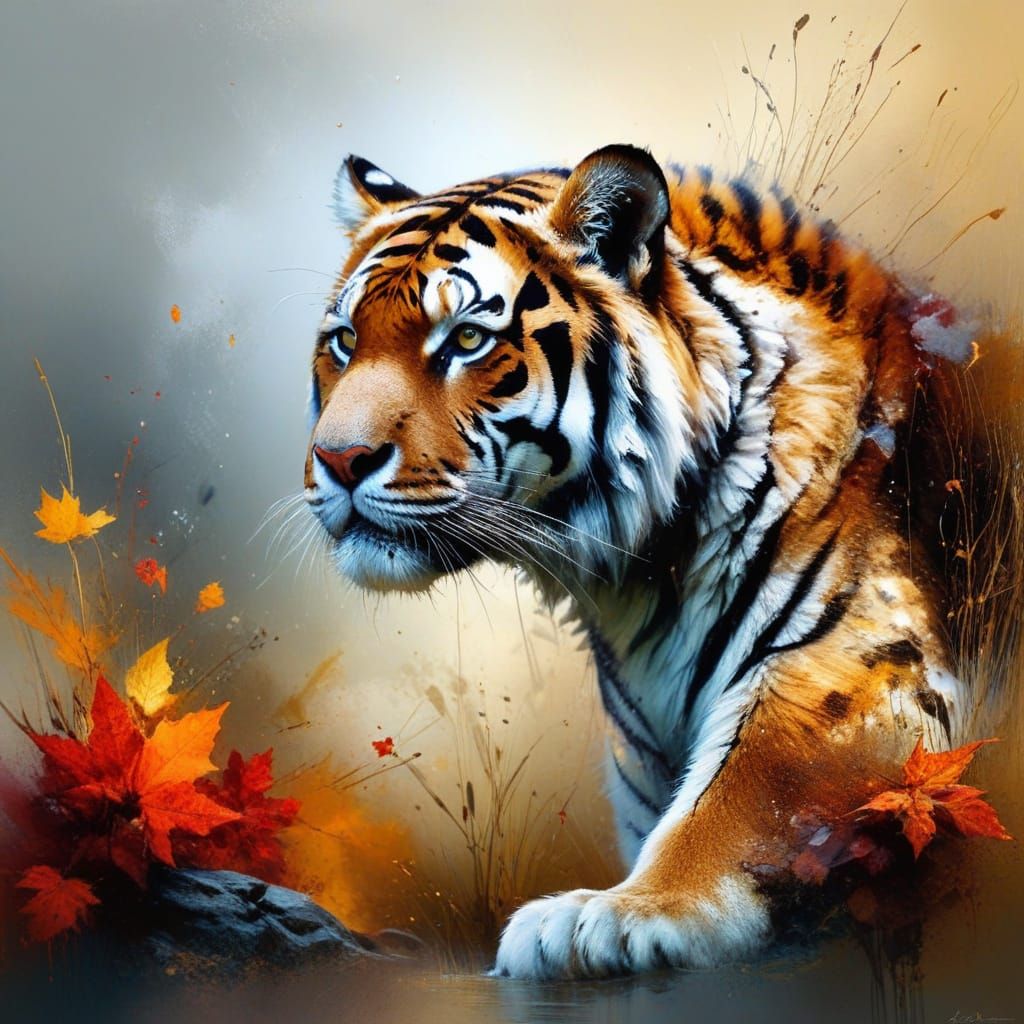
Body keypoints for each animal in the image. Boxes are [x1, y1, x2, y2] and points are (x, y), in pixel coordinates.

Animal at [303, 145, 972, 979]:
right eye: (343, 342)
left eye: (465, 341)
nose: (338, 459)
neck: (635, 580)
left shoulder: (859, 664)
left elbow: (743, 797)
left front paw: (613, 917)